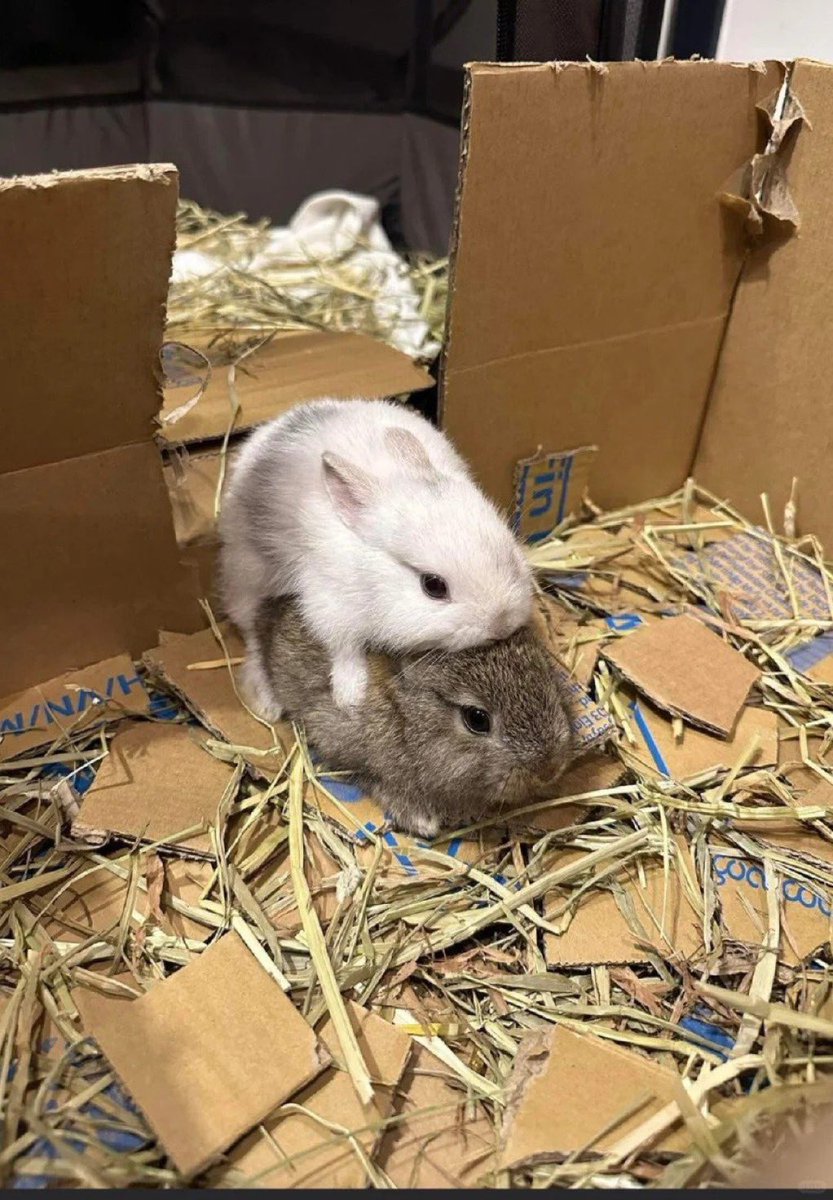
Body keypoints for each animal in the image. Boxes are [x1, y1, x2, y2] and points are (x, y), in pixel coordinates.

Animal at [218, 398, 533, 720]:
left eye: (510, 553)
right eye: (433, 586)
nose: (501, 625)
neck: (373, 578)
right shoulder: (330, 606)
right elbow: (344, 650)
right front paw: (349, 697)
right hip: (246, 581)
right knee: (252, 637)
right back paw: (266, 702)